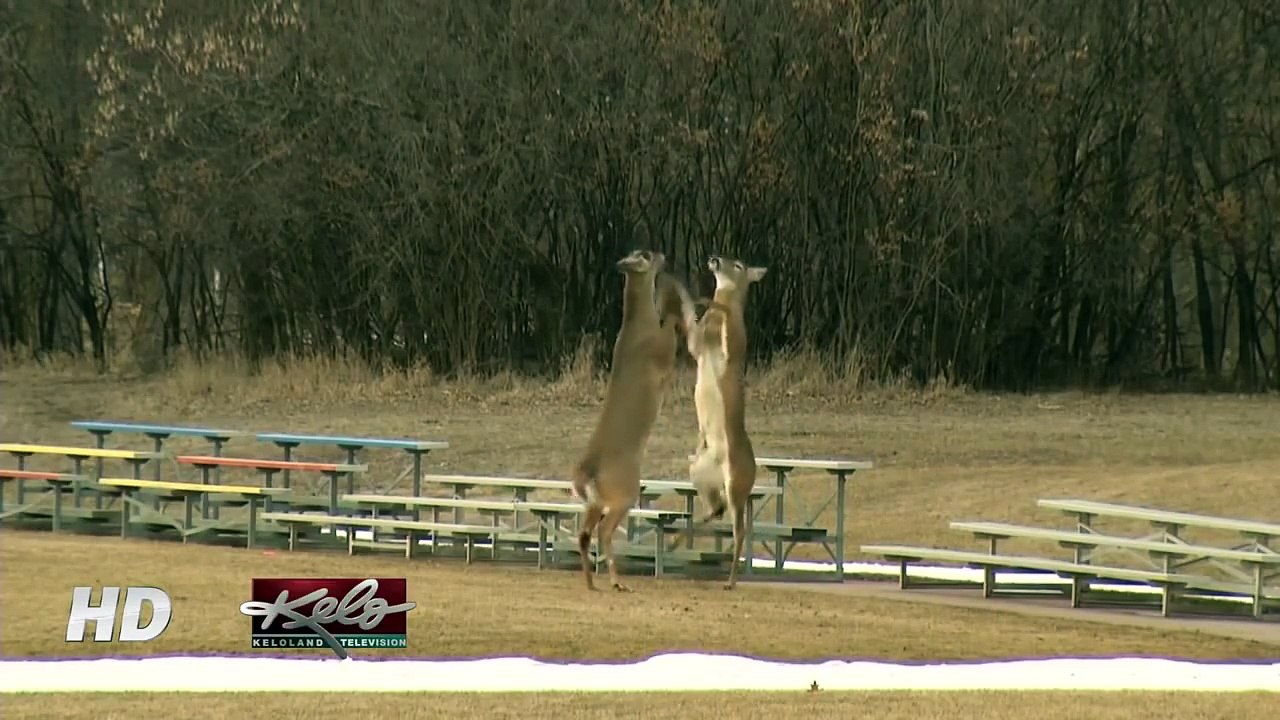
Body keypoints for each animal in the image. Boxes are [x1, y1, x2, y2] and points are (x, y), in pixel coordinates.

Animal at [570, 249, 697, 592]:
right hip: (625, 490)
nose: (664, 256)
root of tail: (587, 471)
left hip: (596, 500)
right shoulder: (662, 349)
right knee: (603, 531)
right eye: (647, 254)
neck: (638, 325)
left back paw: (593, 583)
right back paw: (617, 582)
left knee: (584, 533)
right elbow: (671, 324)